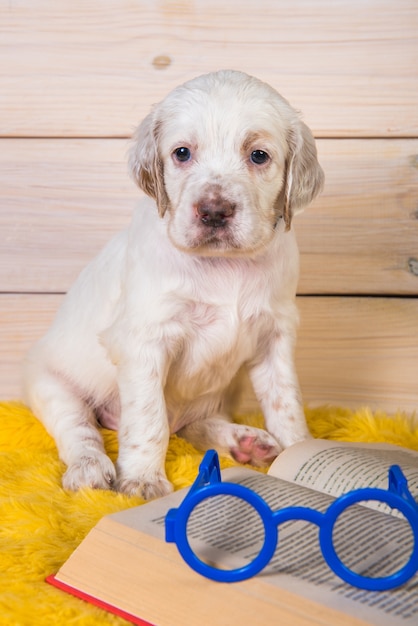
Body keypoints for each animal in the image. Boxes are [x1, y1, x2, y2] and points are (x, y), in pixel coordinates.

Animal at [22, 69, 324, 498]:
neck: (224, 265)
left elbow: (286, 402)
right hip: (51, 384)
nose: (214, 211)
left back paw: (245, 442)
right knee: (80, 430)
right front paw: (143, 479)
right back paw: (90, 469)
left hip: (222, 392)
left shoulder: (276, 333)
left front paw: (299, 451)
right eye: (182, 153)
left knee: (195, 424)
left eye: (258, 156)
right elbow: (149, 420)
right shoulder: (146, 341)